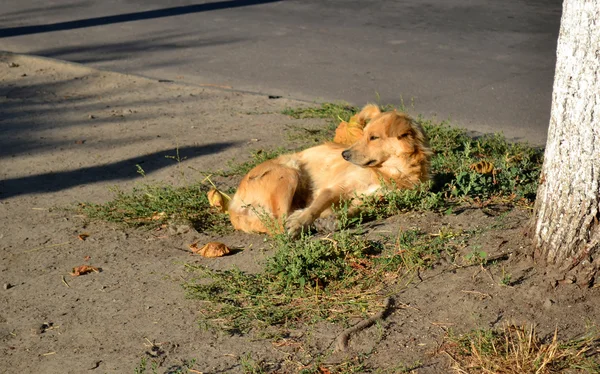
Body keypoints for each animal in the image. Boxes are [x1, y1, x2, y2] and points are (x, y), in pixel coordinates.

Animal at [226, 103, 432, 235]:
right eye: (363, 134)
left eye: (374, 138)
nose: (344, 154)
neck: (390, 173)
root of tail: (232, 205)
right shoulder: (333, 189)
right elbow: (314, 208)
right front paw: (301, 222)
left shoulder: (374, 200)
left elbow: (354, 211)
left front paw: (334, 220)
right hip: (289, 174)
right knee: (280, 220)